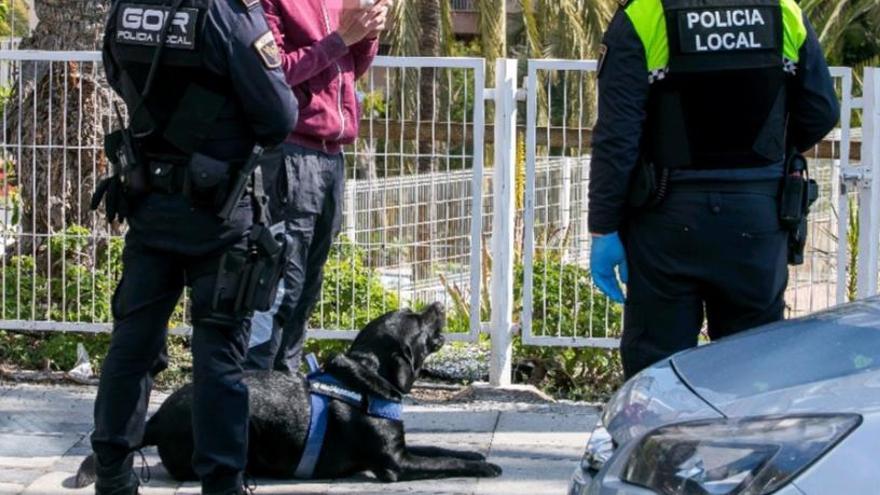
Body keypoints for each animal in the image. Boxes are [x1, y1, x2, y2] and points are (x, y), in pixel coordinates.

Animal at [75, 302, 502, 484]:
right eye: (415, 318)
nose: (440, 302)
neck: (366, 378)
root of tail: (156, 418)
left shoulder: (404, 448)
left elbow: (441, 449)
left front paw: (476, 454)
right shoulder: (396, 464)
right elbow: (445, 462)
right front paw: (485, 467)